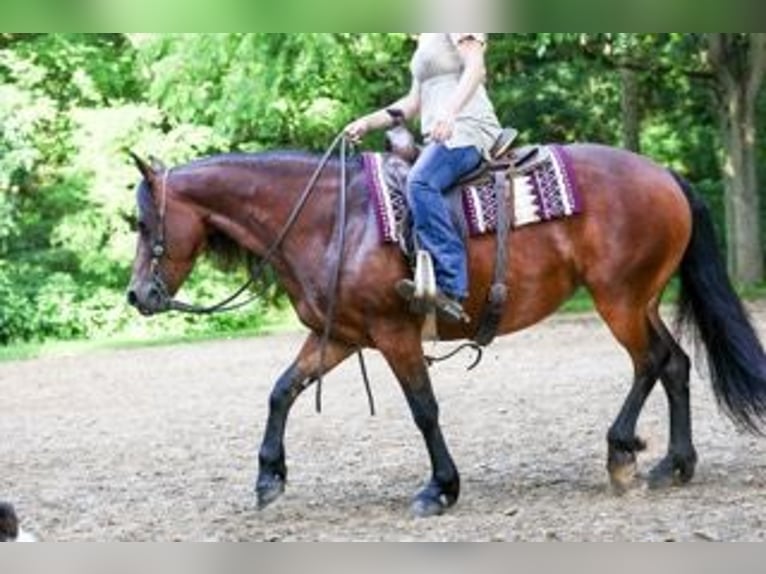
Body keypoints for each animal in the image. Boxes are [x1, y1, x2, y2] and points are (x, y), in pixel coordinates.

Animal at [126, 141, 766, 517]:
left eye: (145, 223)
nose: (138, 295)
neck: (332, 220)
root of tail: (666, 175)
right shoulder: (341, 335)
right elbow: (283, 390)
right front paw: (268, 478)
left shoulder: (394, 335)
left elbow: (423, 409)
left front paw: (441, 487)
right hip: (641, 299)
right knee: (675, 363)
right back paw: (674, 464)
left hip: (621, 300)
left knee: (650, 363)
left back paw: (622, 454)